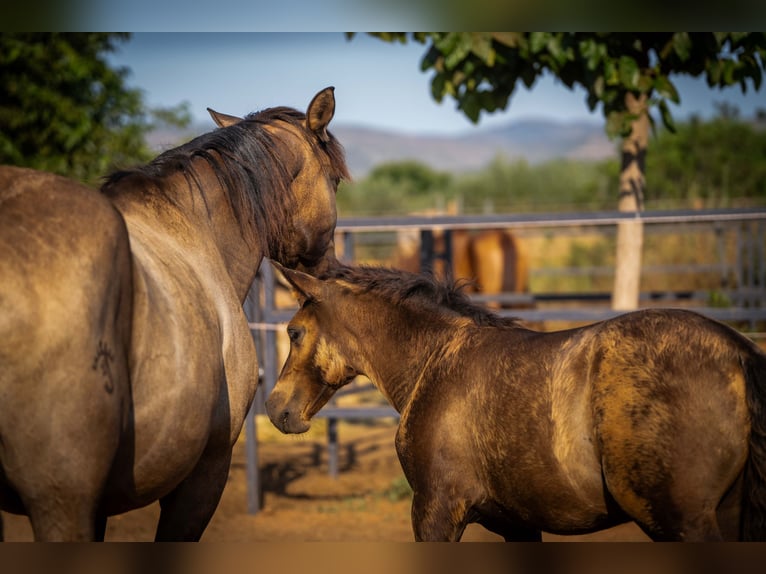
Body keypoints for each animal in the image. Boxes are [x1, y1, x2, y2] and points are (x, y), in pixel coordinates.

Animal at [265, 262, 766, 542]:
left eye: (294, 332)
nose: (276, 409)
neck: (435, 361)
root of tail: (737, 351)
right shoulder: (518, 524)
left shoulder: (435, 511)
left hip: (683, 522)